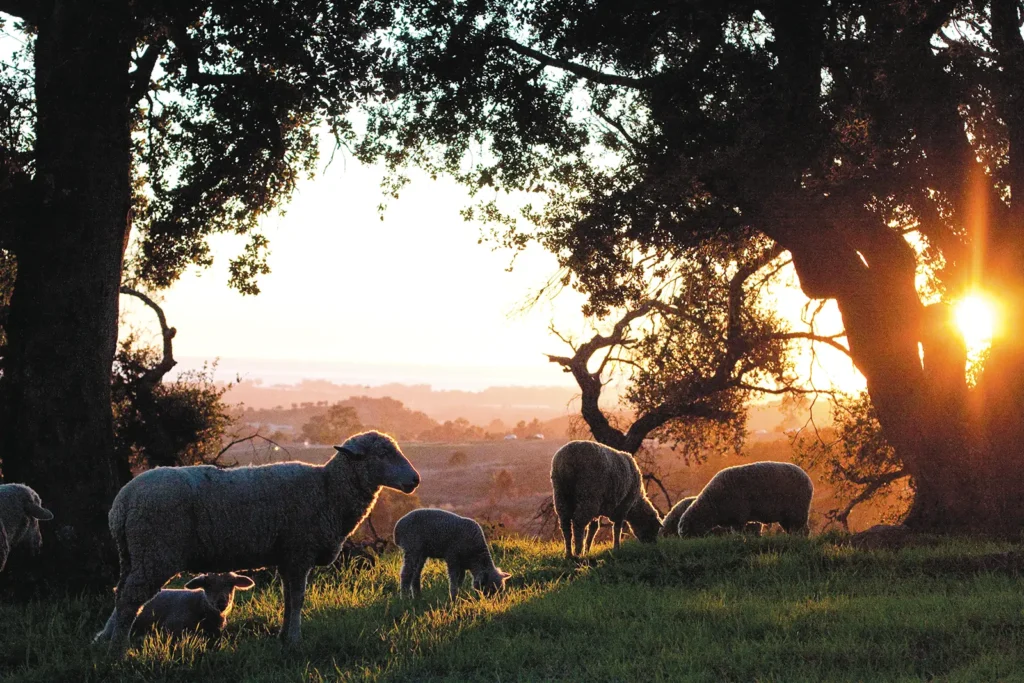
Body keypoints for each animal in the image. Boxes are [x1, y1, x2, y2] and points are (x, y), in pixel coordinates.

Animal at [675, 458, 811, 540]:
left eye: (687, 534)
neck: (712, 505)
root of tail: (807, 478)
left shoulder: (738, 517)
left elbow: (738, 533)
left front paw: (739, 541)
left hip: (798, 511)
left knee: (803, 531)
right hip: (787, 516)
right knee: (794, 530)